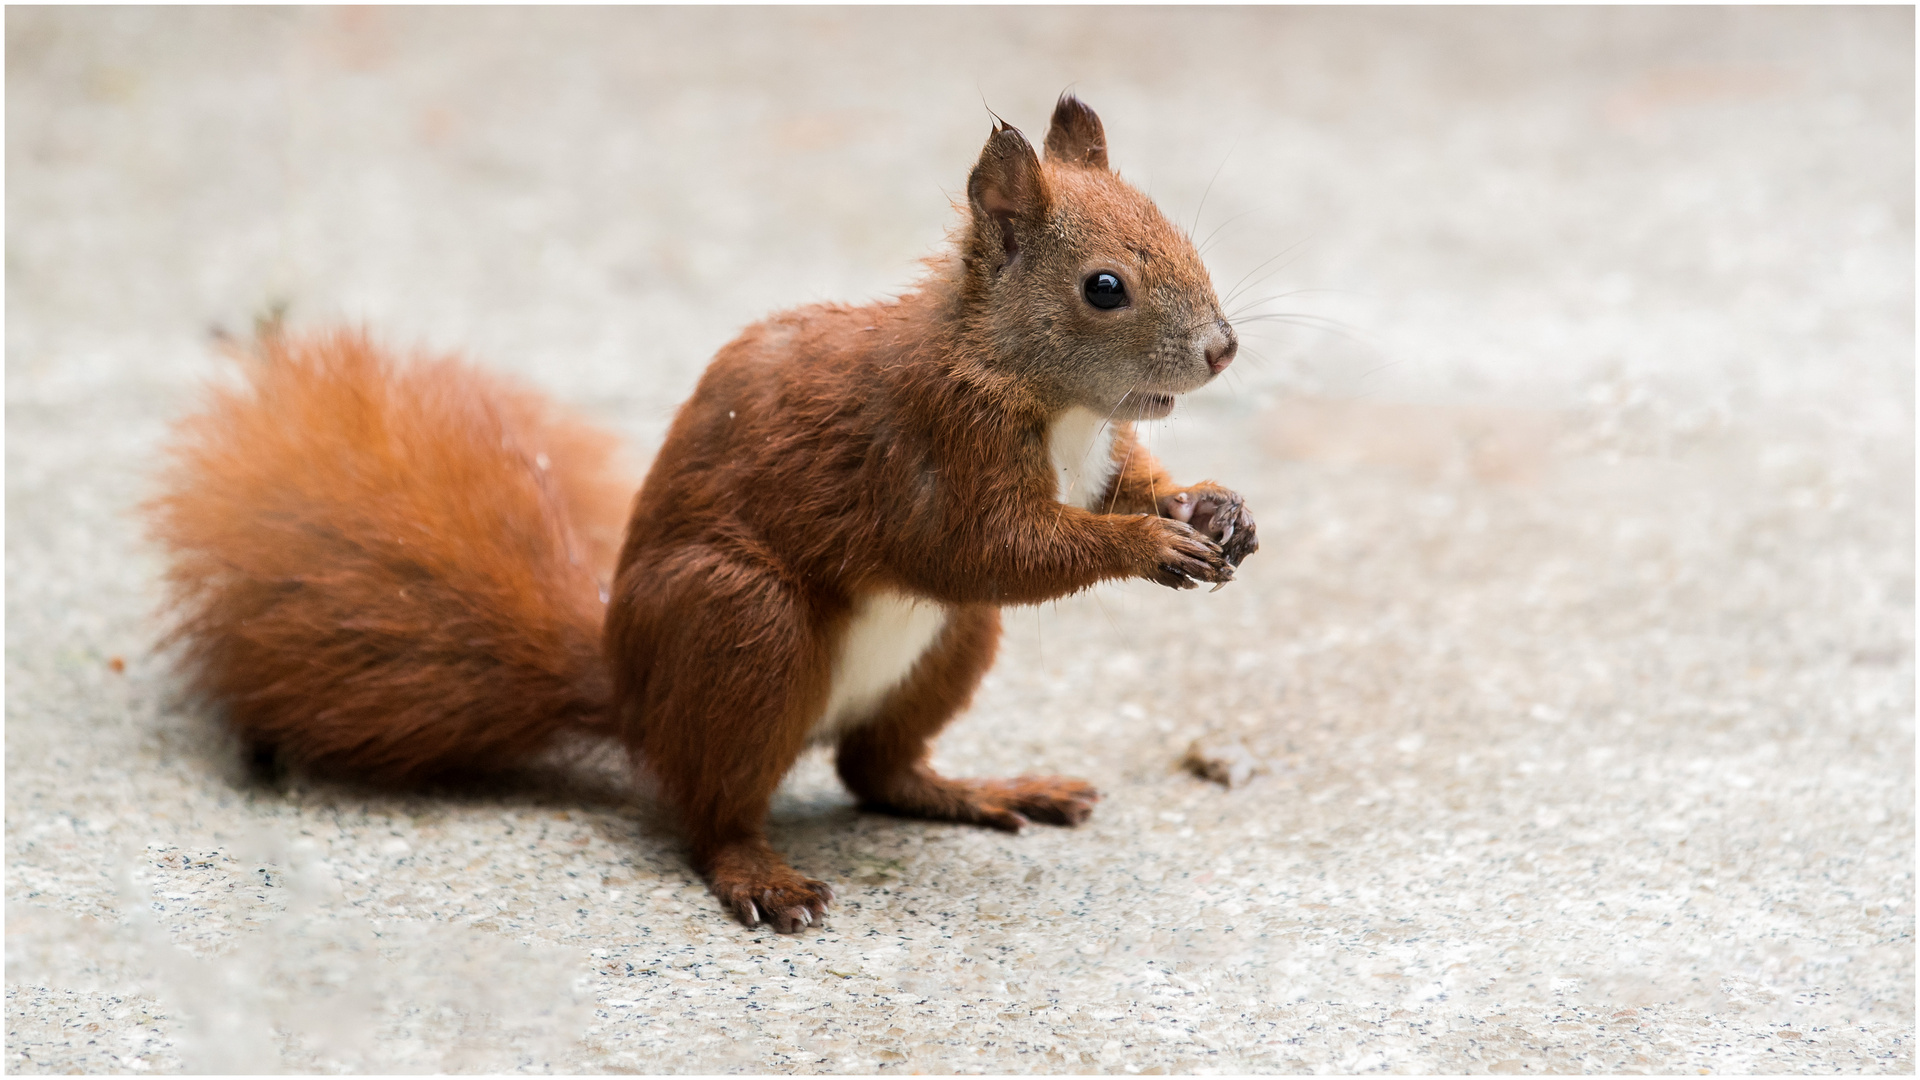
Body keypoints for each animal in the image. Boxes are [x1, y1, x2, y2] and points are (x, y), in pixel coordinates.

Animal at [153, 96, 1259, 930]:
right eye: (1104, 287)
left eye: (1179, 231)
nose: (1222, 350)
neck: (1050, 399)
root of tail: (631, 694)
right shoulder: (931, 450)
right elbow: (990, 548)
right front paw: (1149, 543)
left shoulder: (1092, 457)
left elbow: (1120, 484)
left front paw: (1217, 508)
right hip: (741, 625)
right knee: (714, 810)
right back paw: (760, 876)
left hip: (948, 644)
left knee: (875, 768)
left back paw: (981, 791)